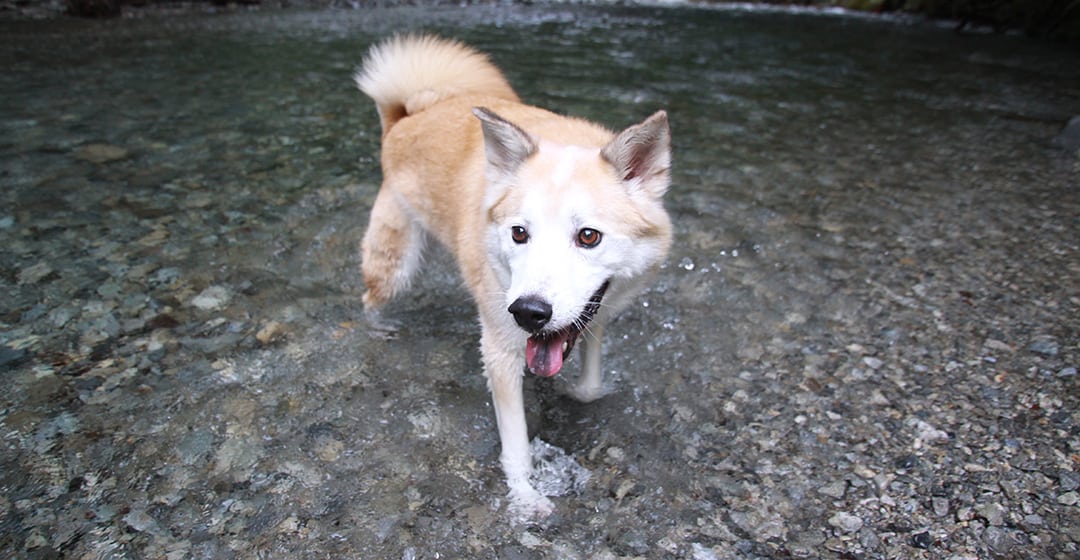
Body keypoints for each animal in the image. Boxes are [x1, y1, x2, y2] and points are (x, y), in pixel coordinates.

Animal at [358, 35, 669, 517]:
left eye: (589, 236)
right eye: (519, 233)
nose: (529, 313)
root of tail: (407, 116)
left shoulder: (594, 313)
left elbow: (591, 377)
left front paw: (582, 393)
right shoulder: (500, 350)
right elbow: (517, 444)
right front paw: (525, 499)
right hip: (396, 266)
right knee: (369, 299)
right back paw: (379, 327)